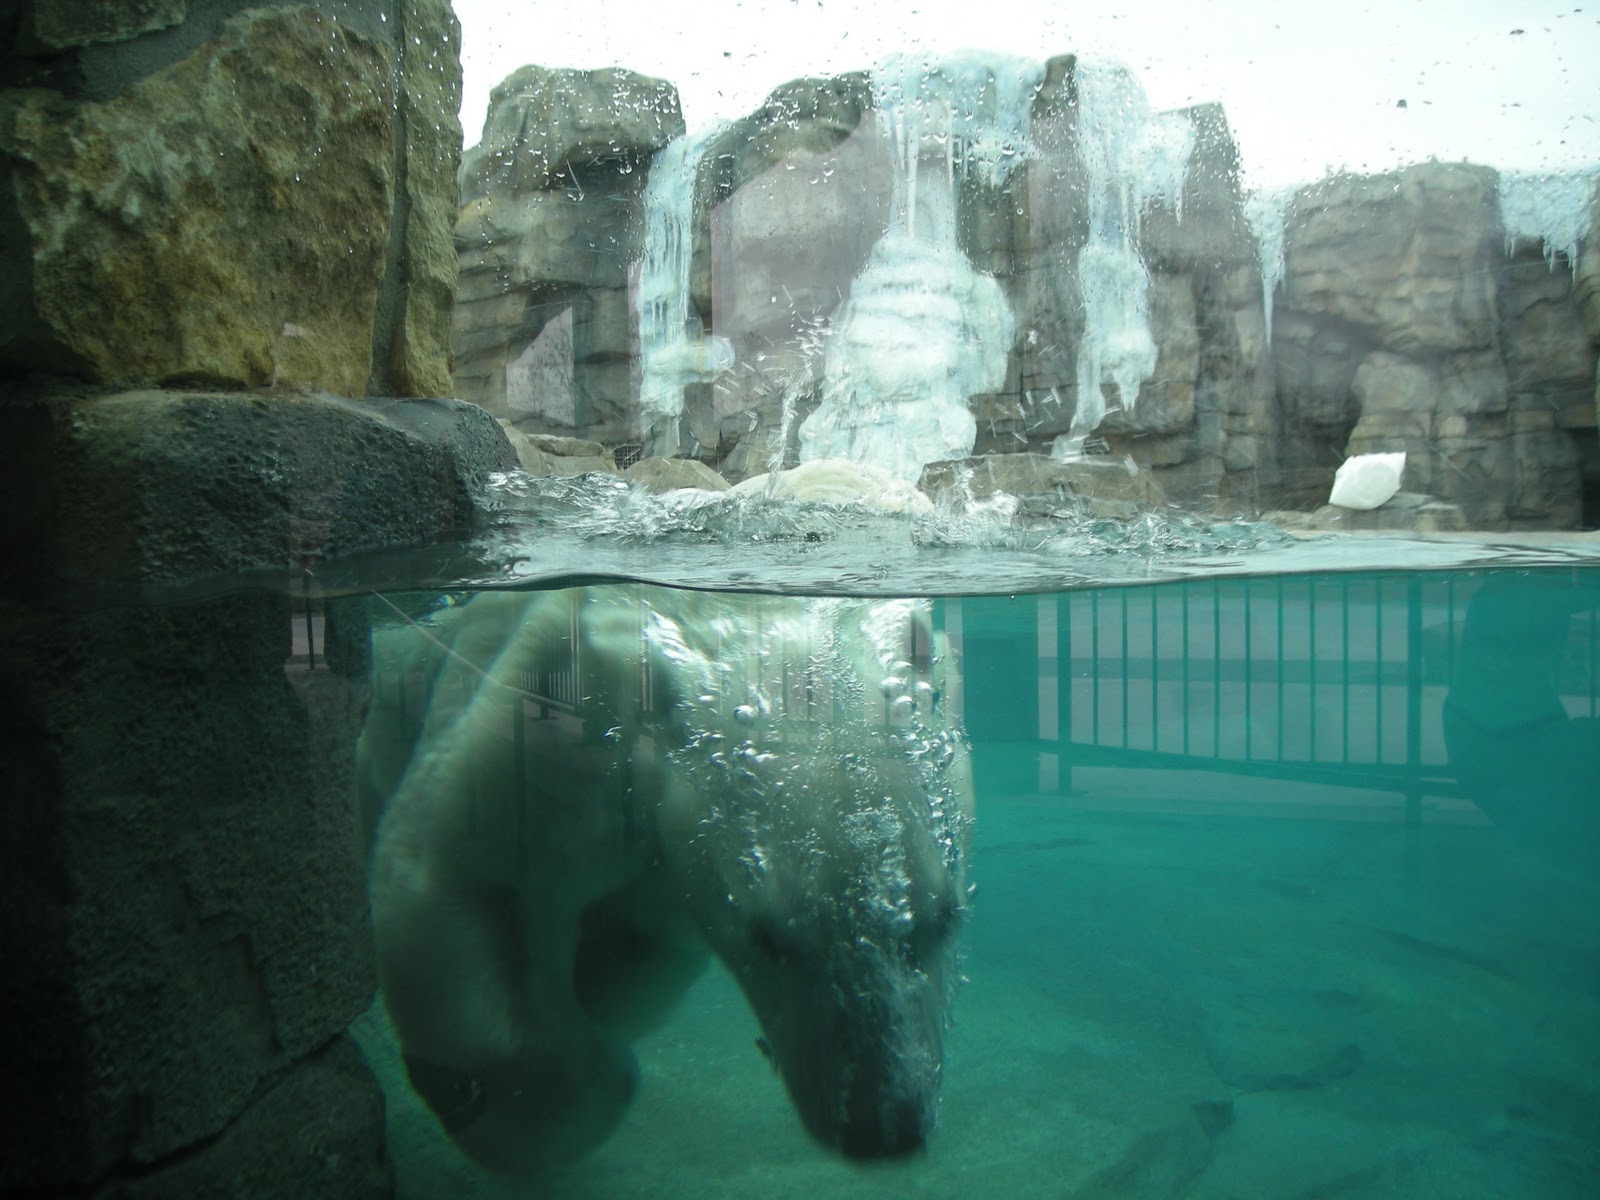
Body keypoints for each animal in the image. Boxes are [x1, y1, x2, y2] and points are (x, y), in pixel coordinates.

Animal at [359, 578, 973, 1173]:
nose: (884, 1129)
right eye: (767, 937)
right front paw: (601, 1078)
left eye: (944, 916)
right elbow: (452, 875)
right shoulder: (551, 720)